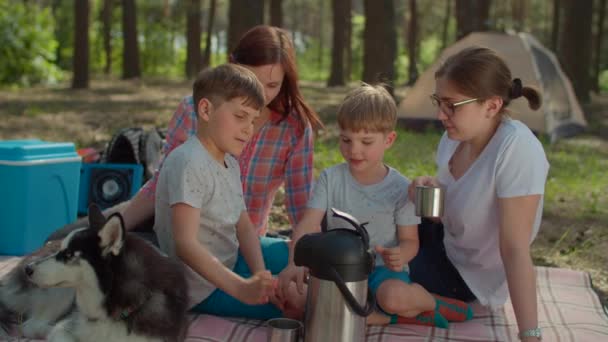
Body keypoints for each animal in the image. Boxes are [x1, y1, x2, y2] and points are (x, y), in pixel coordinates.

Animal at [1, 204, 189, 340]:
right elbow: (59, 331)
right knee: (30, 326)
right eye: (62, 250)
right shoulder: (65, 330)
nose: (28, 269)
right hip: (62, 294)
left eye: (68, 255)